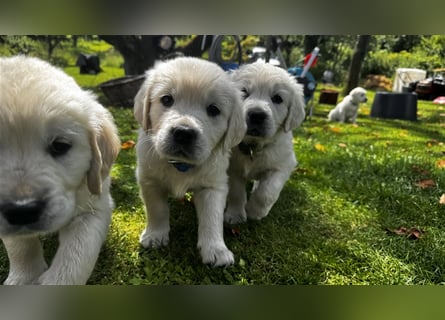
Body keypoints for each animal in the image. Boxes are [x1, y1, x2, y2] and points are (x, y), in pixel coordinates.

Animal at [0, 56, 120, 284]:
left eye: (60, 146)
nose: (22, 209)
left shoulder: (95, 205)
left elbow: (77, 254)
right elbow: (20, 245)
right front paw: (24, 277)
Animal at [134, 57, 246, 268]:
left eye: (213, 109)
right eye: (166, 99)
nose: (183, 133)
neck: (180, 164)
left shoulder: (213, 186)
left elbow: (212, 218)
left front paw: (216, 250)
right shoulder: (149, 180)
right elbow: (157, 209)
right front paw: (155, 235)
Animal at [225, 61, 306, 224]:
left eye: (277, 98)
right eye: (243, 92)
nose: (257, 115)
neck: (253, 146)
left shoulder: (282, 165)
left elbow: (267, 192)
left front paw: (254, 211)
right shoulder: (232, 169)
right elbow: (236, 192)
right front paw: (235, 215)